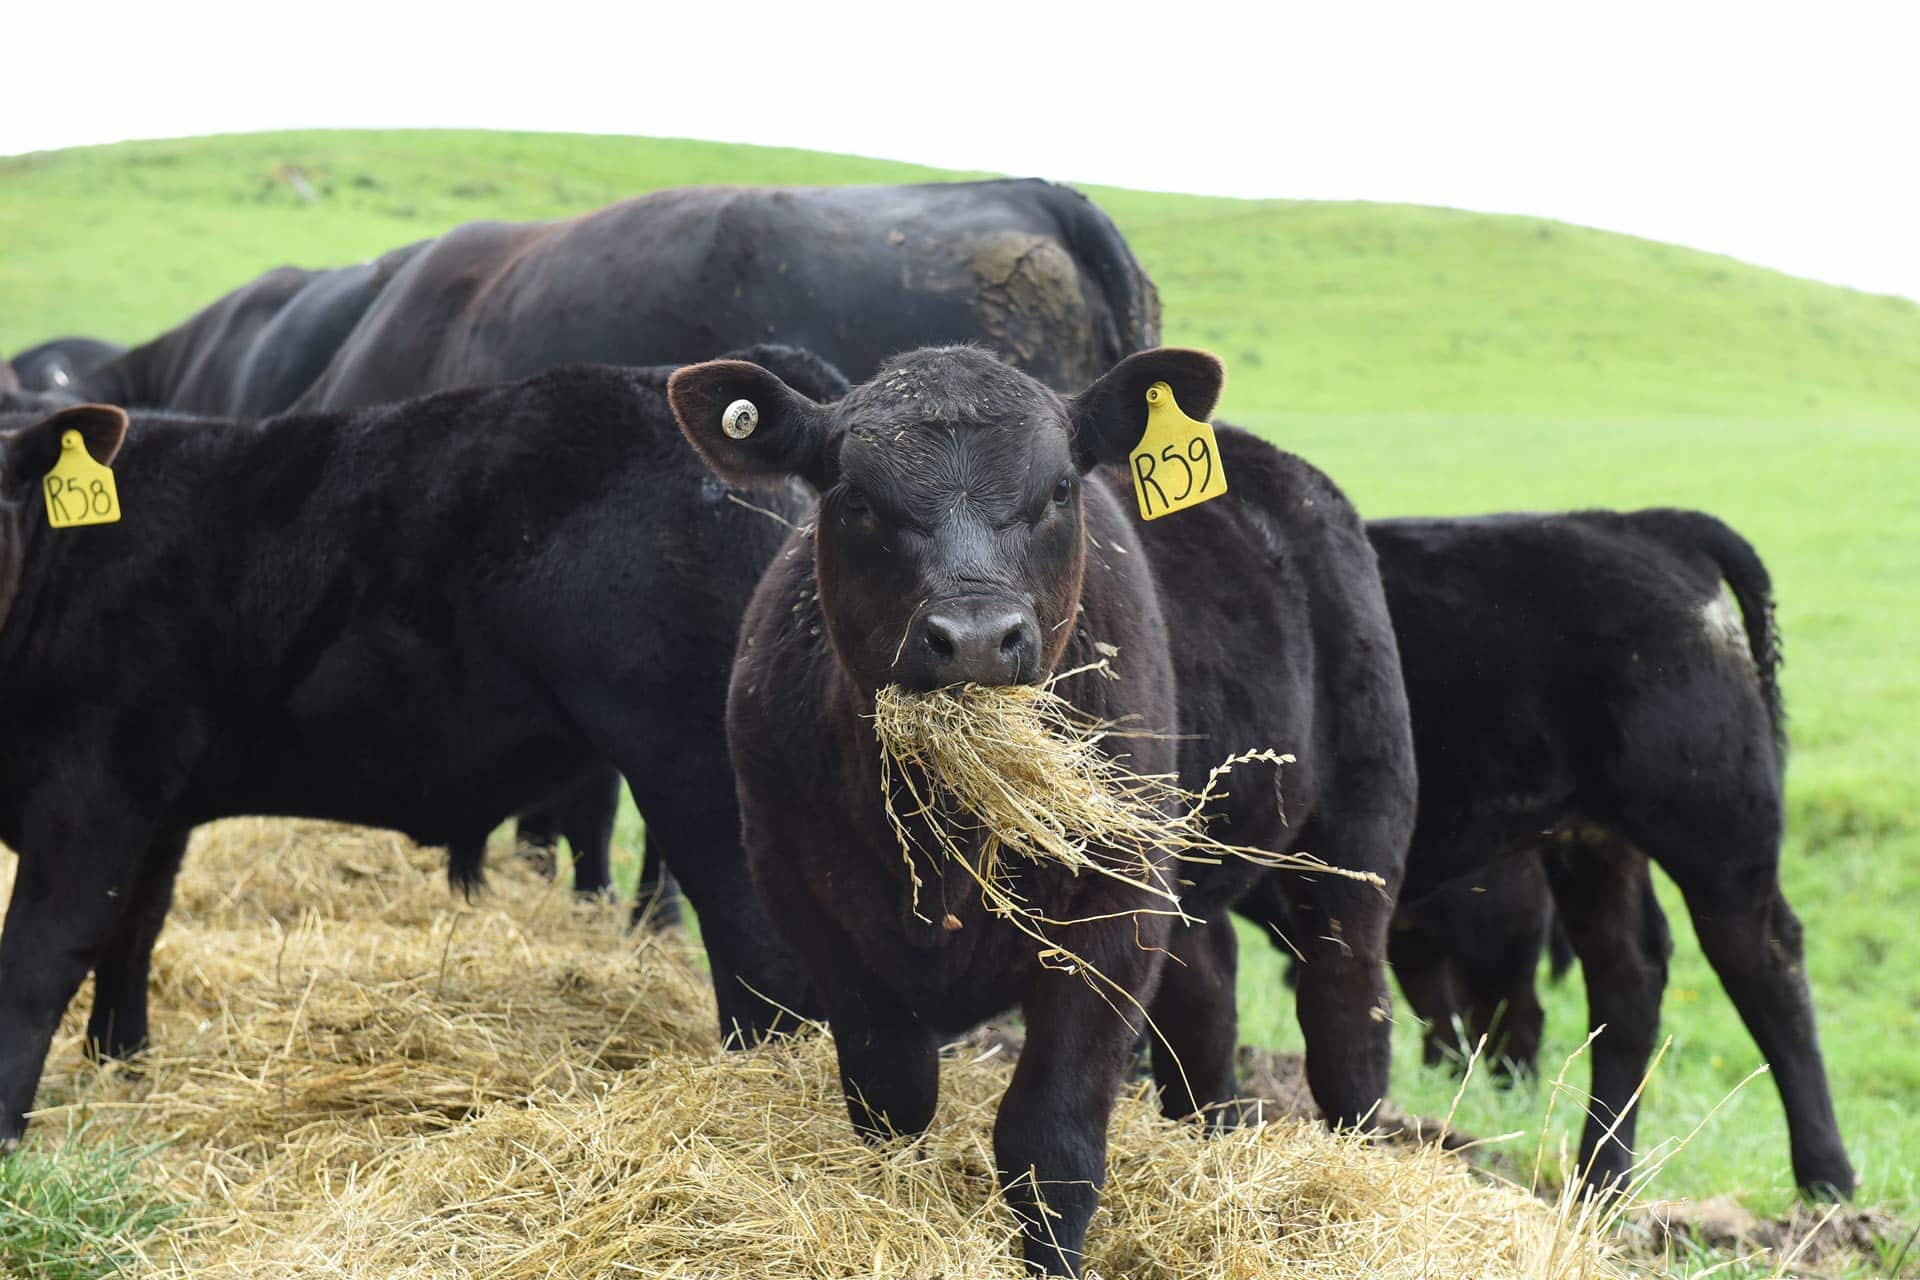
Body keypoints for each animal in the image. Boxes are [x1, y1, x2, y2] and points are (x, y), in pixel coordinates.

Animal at [0, 346, 845, 1152]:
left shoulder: (92, 802)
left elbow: (39, 961)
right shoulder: (156, 812)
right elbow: (132, 935)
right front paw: (122, 1064)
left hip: (698, 773)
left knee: (758, 946)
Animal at [669, 345, 1413, 1275]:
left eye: (1059, 489)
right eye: (856, 498)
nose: (977, 638)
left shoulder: (1113, 910)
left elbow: (1049, 1141)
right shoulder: (808, 904)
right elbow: (891, 1101)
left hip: (1362, 829)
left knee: (1348, 1009)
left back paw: (1354, 1166)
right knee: (1208, 999)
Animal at [1238, 507, 1854, 1200]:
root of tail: (1645, 524)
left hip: (1715, 833)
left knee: (1767, 963)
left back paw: (1826, 1179)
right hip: (1592, 843)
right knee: (1628, 975)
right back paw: (1600, 1178)